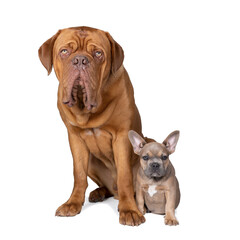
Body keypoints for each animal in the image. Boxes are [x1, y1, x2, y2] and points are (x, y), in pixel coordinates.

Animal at [38, 27, 145, 226]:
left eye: (98, 53)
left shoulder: (121, 136)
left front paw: (129, 210)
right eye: (64, 51)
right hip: (92, 162)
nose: (80, 60)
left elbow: (125, 176)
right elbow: (78, 175)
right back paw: (99, 193)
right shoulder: (75, 138)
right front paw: (72, 203)